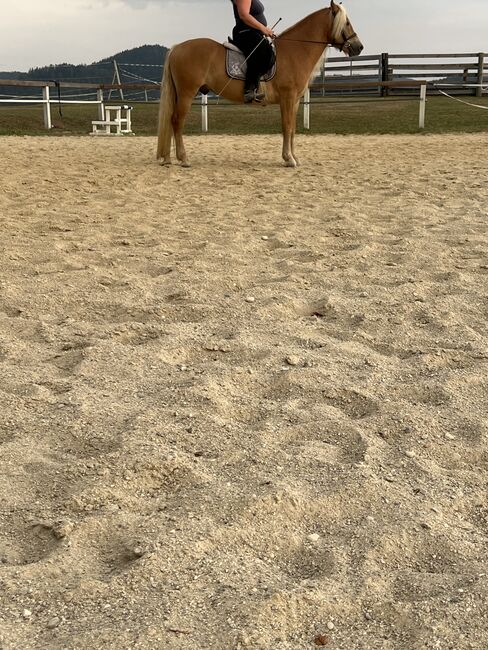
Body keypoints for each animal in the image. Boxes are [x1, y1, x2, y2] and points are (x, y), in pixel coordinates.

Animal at [156, 1, 362, 167]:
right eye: (347, 22)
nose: (359, 47)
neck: (295, 50)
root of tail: (177, 48)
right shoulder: (287, 98)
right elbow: (286, 126)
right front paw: (289, 159)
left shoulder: (295, 101)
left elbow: (293, 129)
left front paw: (294, 157)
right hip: (186, 93)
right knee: (177, 121)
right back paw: (183, 159)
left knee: (172, 121)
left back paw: (167, 158)